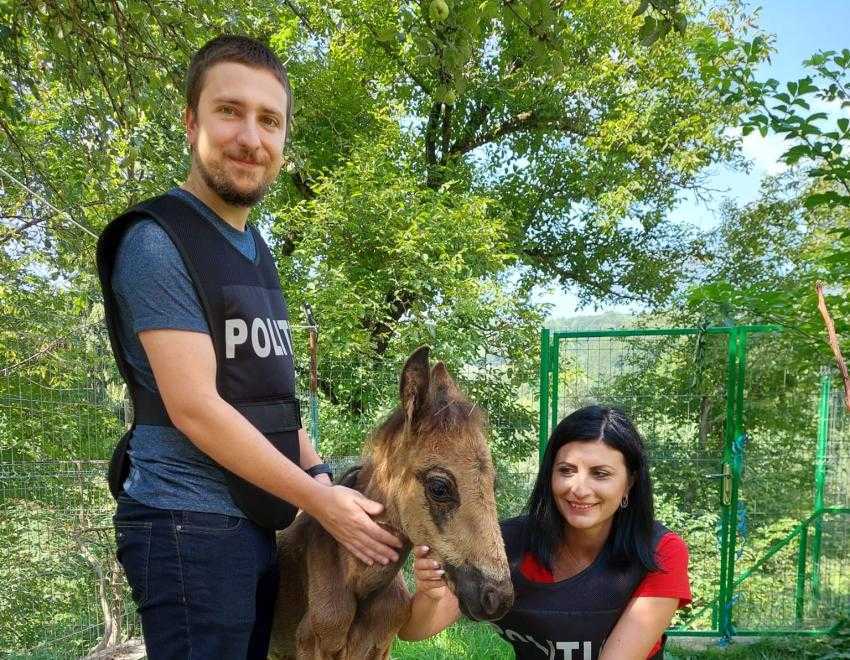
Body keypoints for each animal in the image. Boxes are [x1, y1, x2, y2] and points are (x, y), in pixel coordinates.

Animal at [268, 346, 514, 659]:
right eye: (439, 487)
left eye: (494, 484)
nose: (498, 598)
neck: (361, 584)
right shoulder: (312, 645)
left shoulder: (381, 645)